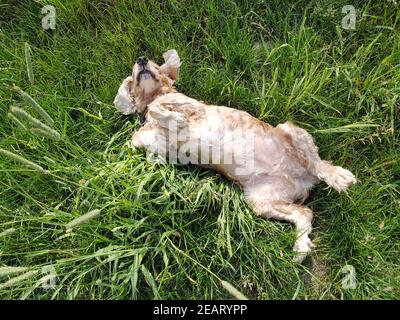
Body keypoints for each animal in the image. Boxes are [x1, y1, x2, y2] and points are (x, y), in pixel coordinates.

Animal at [113, 48, 356, 262]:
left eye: (155, 65)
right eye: (135, 71)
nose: (141, 59)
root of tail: (302, 178)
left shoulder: (190, 105)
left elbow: (159, 107)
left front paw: (174, 118)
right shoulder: (156, 140)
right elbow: (138, 136)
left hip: (289, 130)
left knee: (318, 164)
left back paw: (339, 178)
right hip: (262, 201)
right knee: (305, 213)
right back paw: (301, 247)